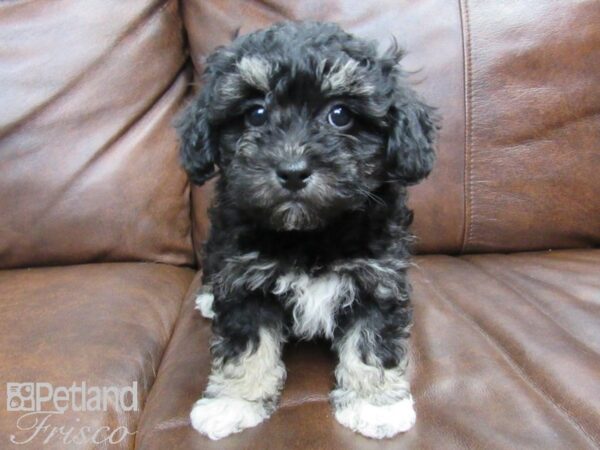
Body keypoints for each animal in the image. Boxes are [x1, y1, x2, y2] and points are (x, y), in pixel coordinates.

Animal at [177, 20, 436, 440]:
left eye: (340, 114)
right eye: (256, 113)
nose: (293, 171)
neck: (309, 234)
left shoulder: (377, 280)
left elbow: (371, 342)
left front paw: (375, 404)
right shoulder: (245, 278)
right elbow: (245, 346)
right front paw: (234, 401)